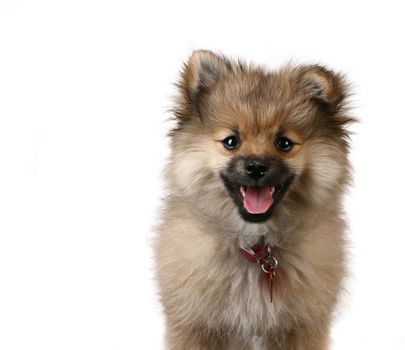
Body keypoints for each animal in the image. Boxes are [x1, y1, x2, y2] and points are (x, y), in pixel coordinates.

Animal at [155, 50, 354, 350]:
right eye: (231, 141)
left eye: (284, 143)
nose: (256, 166)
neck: (255, 247)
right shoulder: (193, 324)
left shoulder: (301, 327)